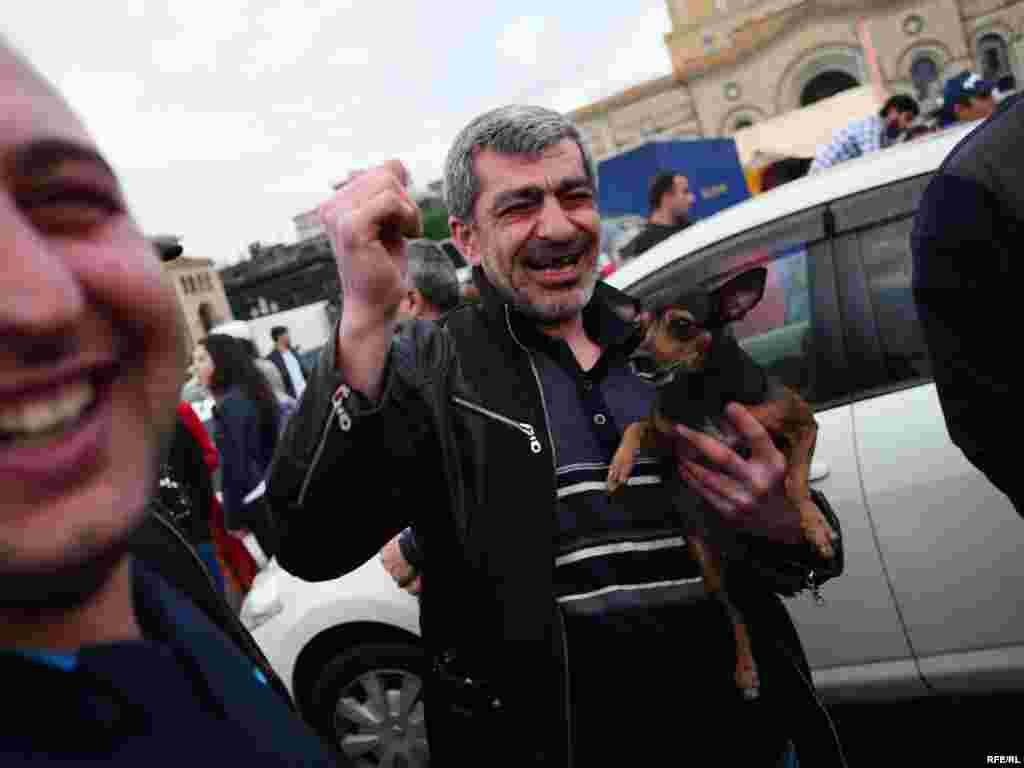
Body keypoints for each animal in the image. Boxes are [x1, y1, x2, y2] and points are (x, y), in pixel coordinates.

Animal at [606, 268, 831, 700]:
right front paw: (618, 465)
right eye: (638, 330)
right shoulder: (668, 436)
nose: (638, 359)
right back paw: (746, 670)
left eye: (681, 325)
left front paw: (815, 527)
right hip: (707, 562)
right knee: (733, 611)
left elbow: (794, 481)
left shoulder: (804, 424)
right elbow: (636, 424)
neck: (701, 391)